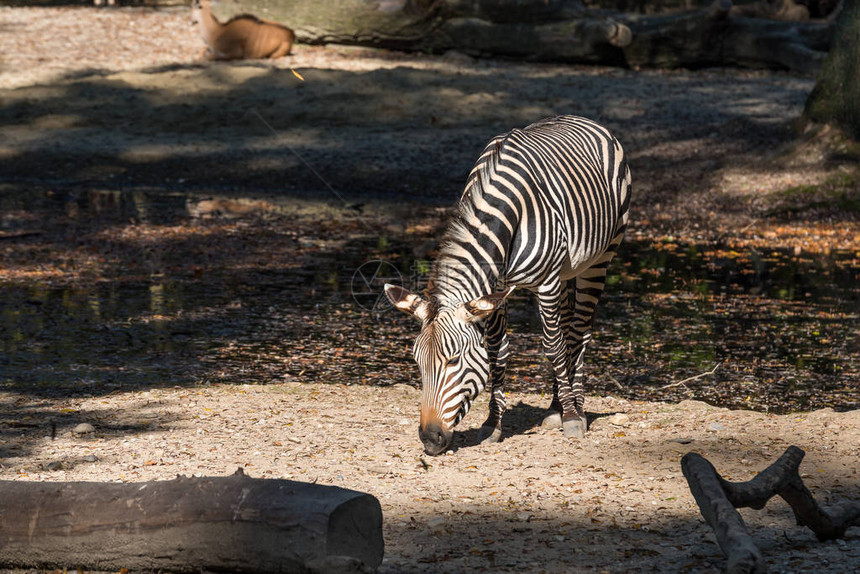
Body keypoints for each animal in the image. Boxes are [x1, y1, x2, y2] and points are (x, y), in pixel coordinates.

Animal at [386, 116, 628, 460]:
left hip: (599, 260)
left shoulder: (546, 282)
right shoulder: (496, 290)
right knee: (568, 329)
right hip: (567, 271)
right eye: (418, 363)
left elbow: (552, 346)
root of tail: (580, 118)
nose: (430, 440)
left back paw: (575, 409)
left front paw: (571, 418)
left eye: (453, 360)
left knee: (578, 332)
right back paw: (555, 407)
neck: (504, 213)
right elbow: (496, 352)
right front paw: (493, 423)